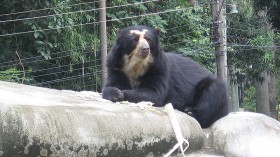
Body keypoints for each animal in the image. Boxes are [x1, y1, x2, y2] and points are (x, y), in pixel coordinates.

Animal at [101, 25, 229, 127]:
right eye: (134, 40)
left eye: (149, 39)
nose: (145, 49)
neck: (137, 65)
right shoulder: (117, 68)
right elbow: (110, 85)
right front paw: (115, 93)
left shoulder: (159, 69)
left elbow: (154, 93)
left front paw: (123, 93)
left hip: (213, 89)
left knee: (213, 93)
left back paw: (191, 112)